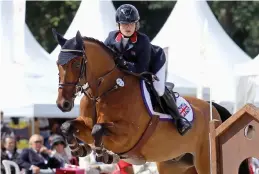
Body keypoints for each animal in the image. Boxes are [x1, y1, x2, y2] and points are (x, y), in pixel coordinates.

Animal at [51, 29, 231, 173]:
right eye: (58, 64)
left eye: (76, 64)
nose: (63, 104)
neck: (102, 92)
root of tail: (212, 107)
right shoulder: (86, 124)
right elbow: (68, 126)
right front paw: (79, 149)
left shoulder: (127, 136)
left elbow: (98, 129)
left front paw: (103, 155)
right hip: (174, 164)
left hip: (204, 160)